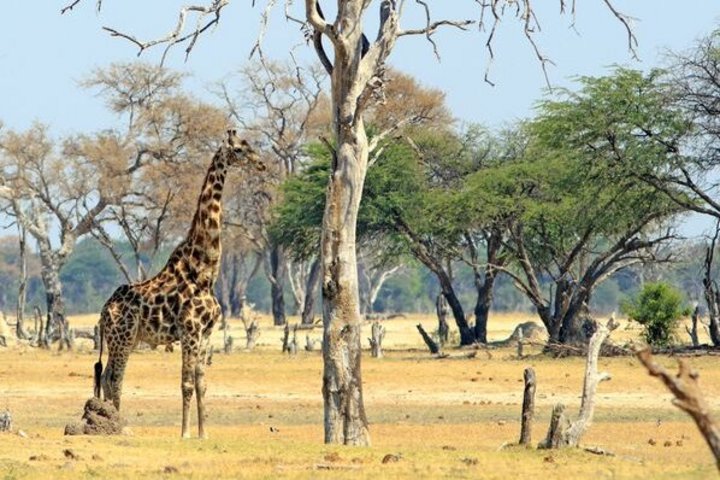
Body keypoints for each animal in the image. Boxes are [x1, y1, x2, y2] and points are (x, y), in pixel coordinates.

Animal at [94, 129, 264, 439]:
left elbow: (201, 384)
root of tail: (104, 311)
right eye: (239, 149)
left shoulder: (206, 334)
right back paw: (118, 427)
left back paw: (112, 422)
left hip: (124, 339)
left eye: (250, 146)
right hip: (122, 337)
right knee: (114, 377)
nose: (262, 164)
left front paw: (203, 433)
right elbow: (185, 383)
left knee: (106, 375)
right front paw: (185, 433)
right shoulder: (190, 331)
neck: (205, 272)